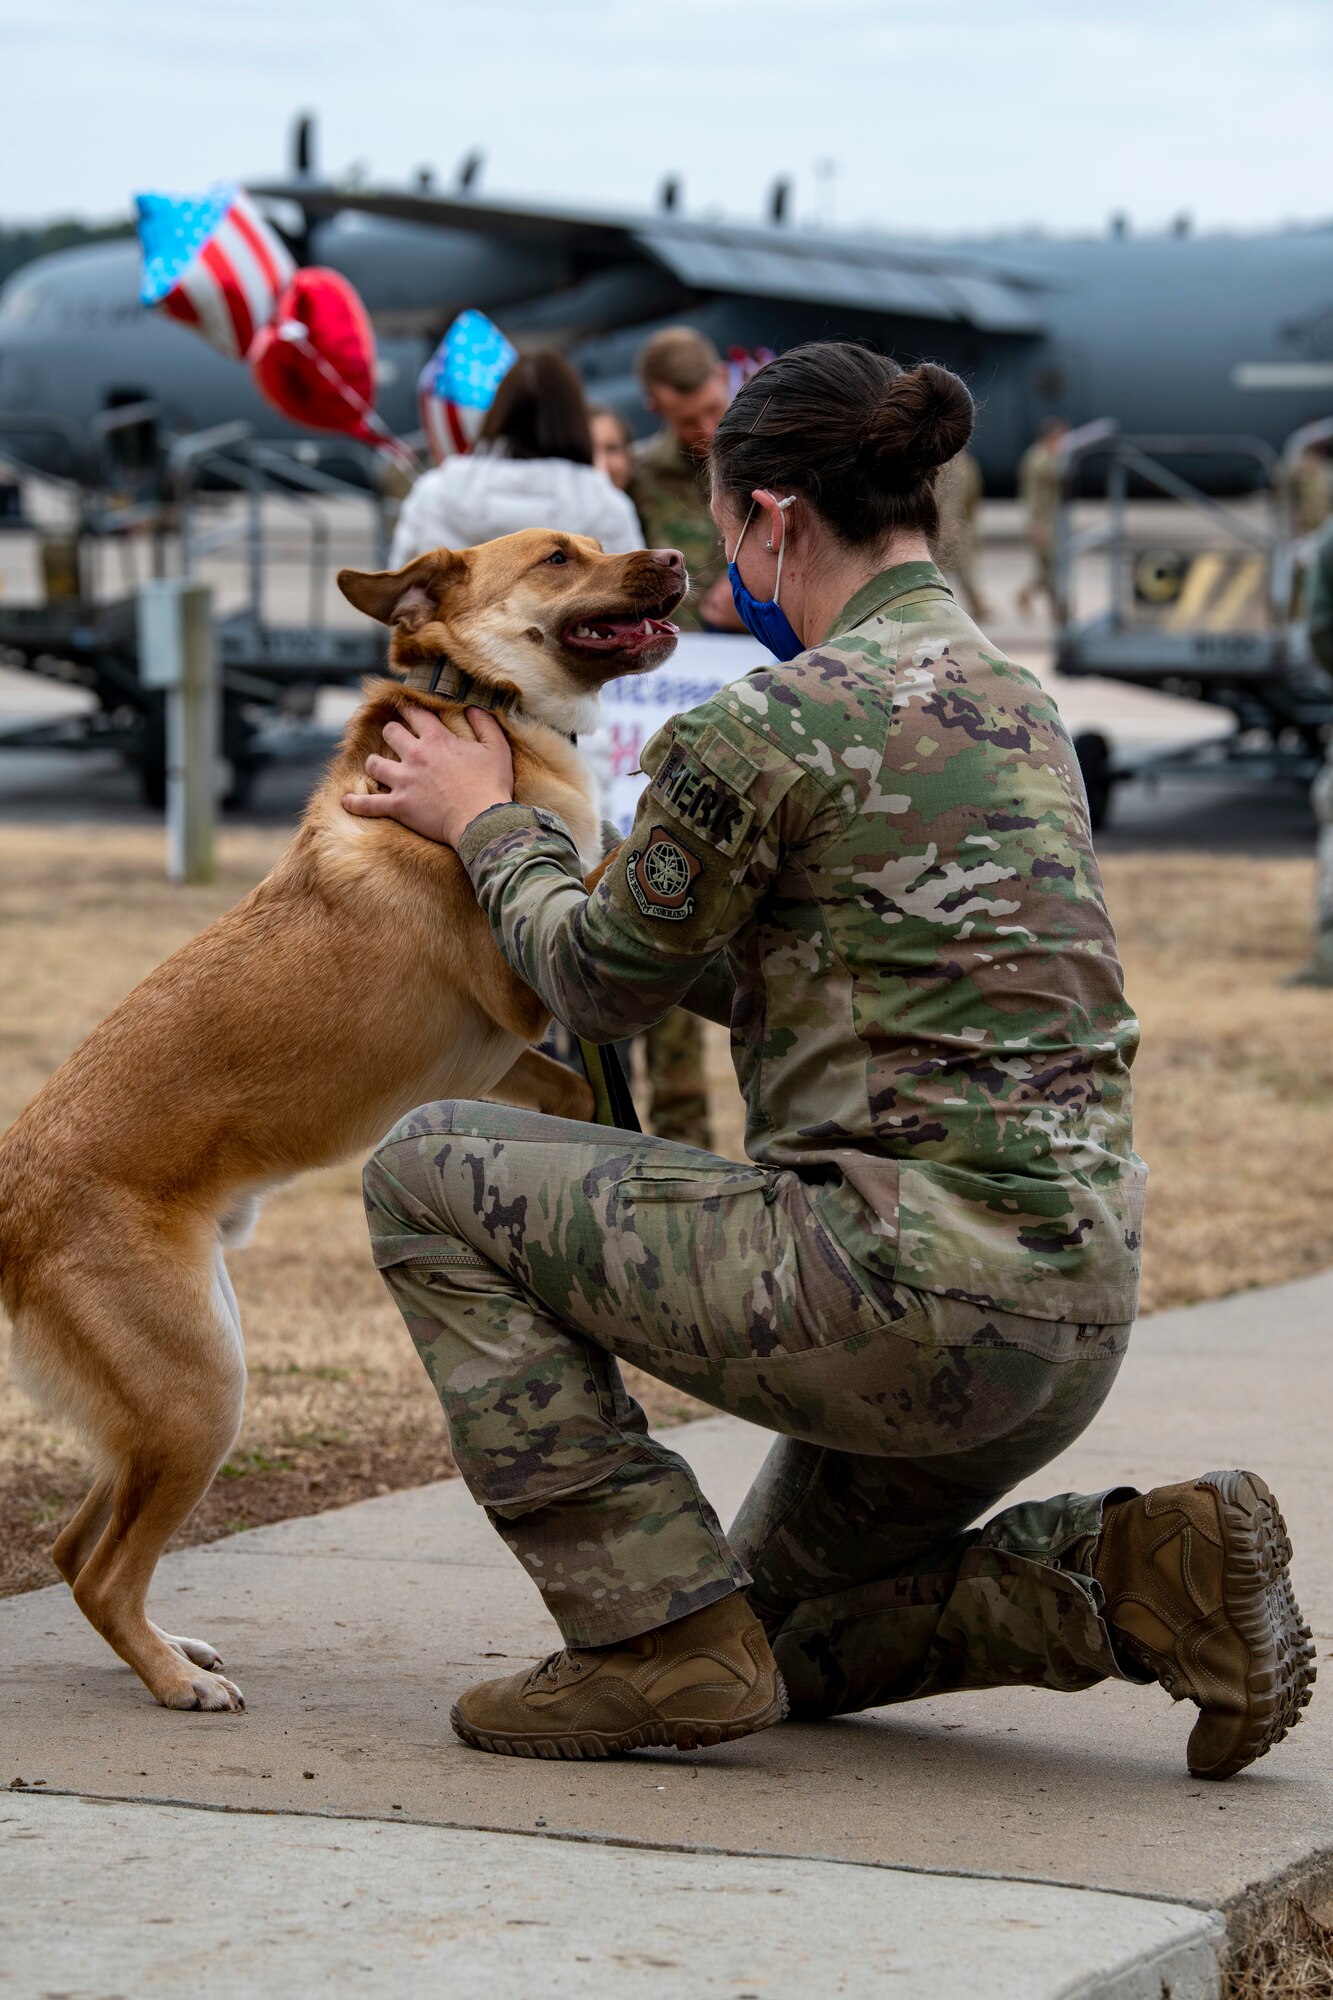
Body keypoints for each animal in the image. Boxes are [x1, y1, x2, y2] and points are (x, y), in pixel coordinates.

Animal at [0, 536, 680, 1720]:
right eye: (560, 556)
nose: (682, 557)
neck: (482, 702)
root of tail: (8, 1195)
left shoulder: (510, 1048)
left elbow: (567, 1080)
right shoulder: (524, 983)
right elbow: (595, 862)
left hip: (178, 1386)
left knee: (75, 1545)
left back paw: (174, 1650)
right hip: (199, 1397)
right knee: (99, 1568)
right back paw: (176, 1682)